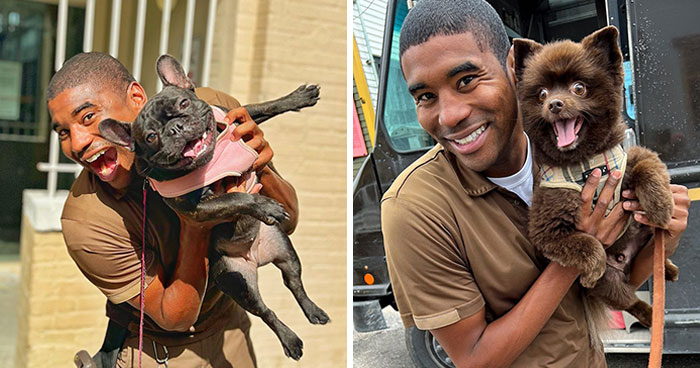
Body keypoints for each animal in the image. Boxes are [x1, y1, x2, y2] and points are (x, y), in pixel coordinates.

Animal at [516, 25, 680, 336]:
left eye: (578, 88)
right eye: (542, 93)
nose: (554, 104)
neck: (585, 164)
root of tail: (625, 260)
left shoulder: (629, 157)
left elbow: (647, 166)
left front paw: (660, 205)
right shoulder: (547, 228)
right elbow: (588, 243)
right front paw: (591, 269)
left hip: (643, 231)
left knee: (653, 250)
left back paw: (667, 267)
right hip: (612, 283)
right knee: (629, 300)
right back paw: (651, 312)